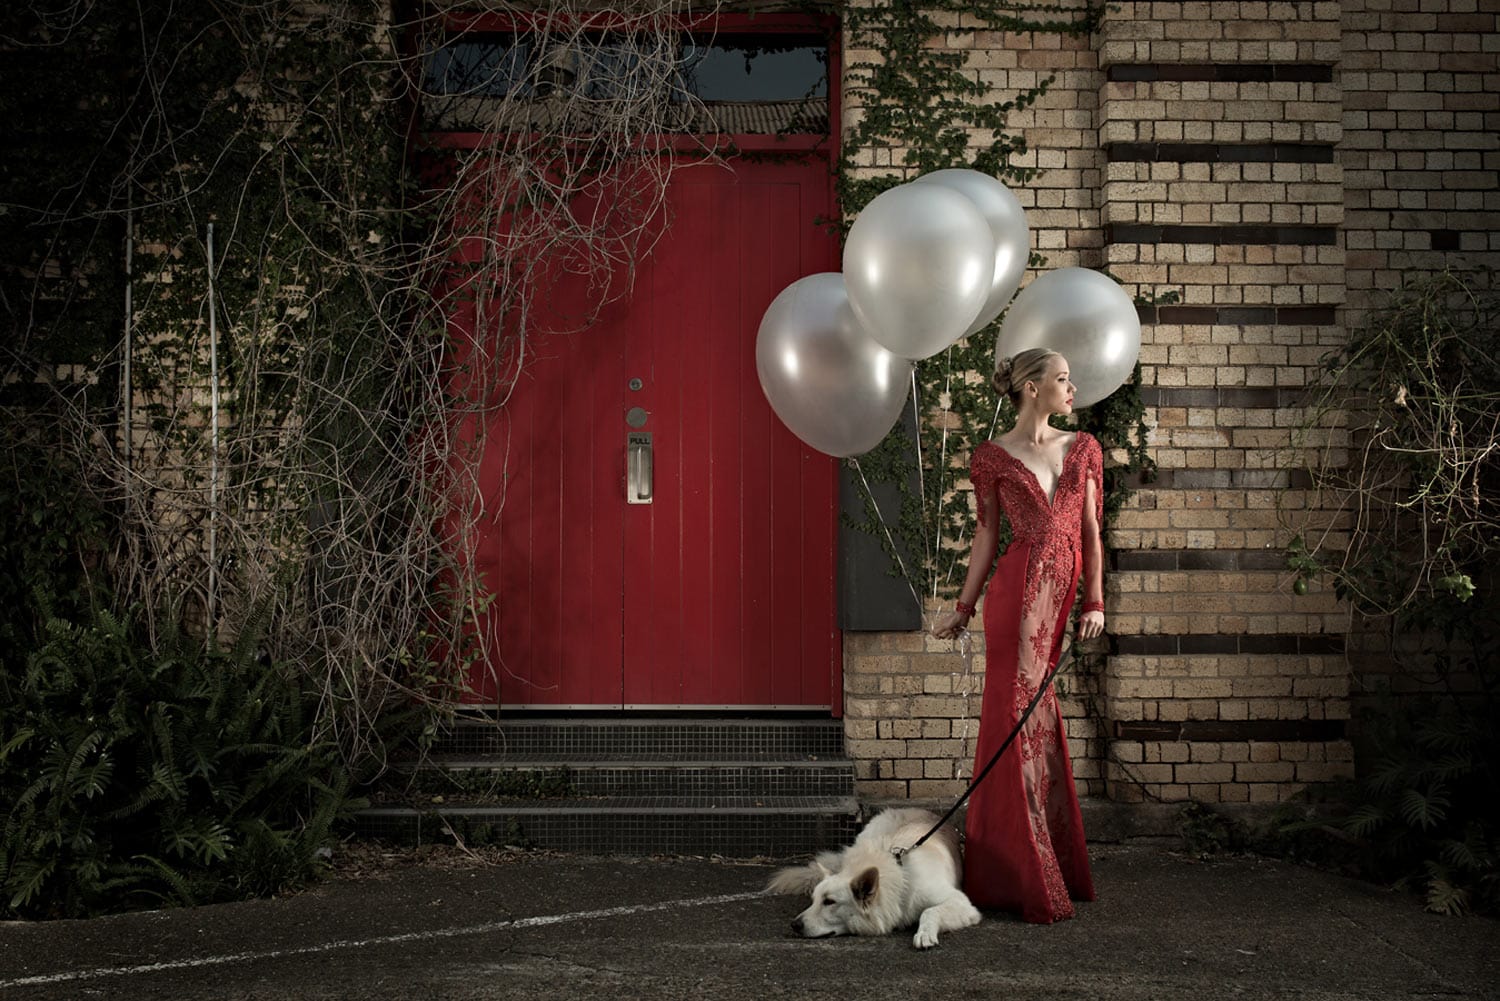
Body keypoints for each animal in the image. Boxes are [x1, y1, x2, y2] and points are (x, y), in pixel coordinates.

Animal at [762, 804, 984, 948]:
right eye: (814, 900)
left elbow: (929, 911)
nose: (794, 925)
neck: (901, 882)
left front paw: (924, 933)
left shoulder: (961, 903)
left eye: (829, 902)